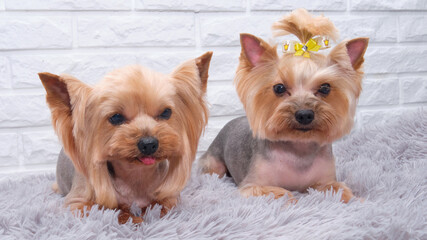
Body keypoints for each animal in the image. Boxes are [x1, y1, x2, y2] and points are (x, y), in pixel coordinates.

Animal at [199, 9, 370, 204]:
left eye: (325, 88)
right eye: (279, 88)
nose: (304, 114)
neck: (298, 149)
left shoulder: (325, 180)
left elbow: (339, 189)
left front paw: (357, 199)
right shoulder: (251, 186)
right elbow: (281, 192)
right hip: (214, 164)